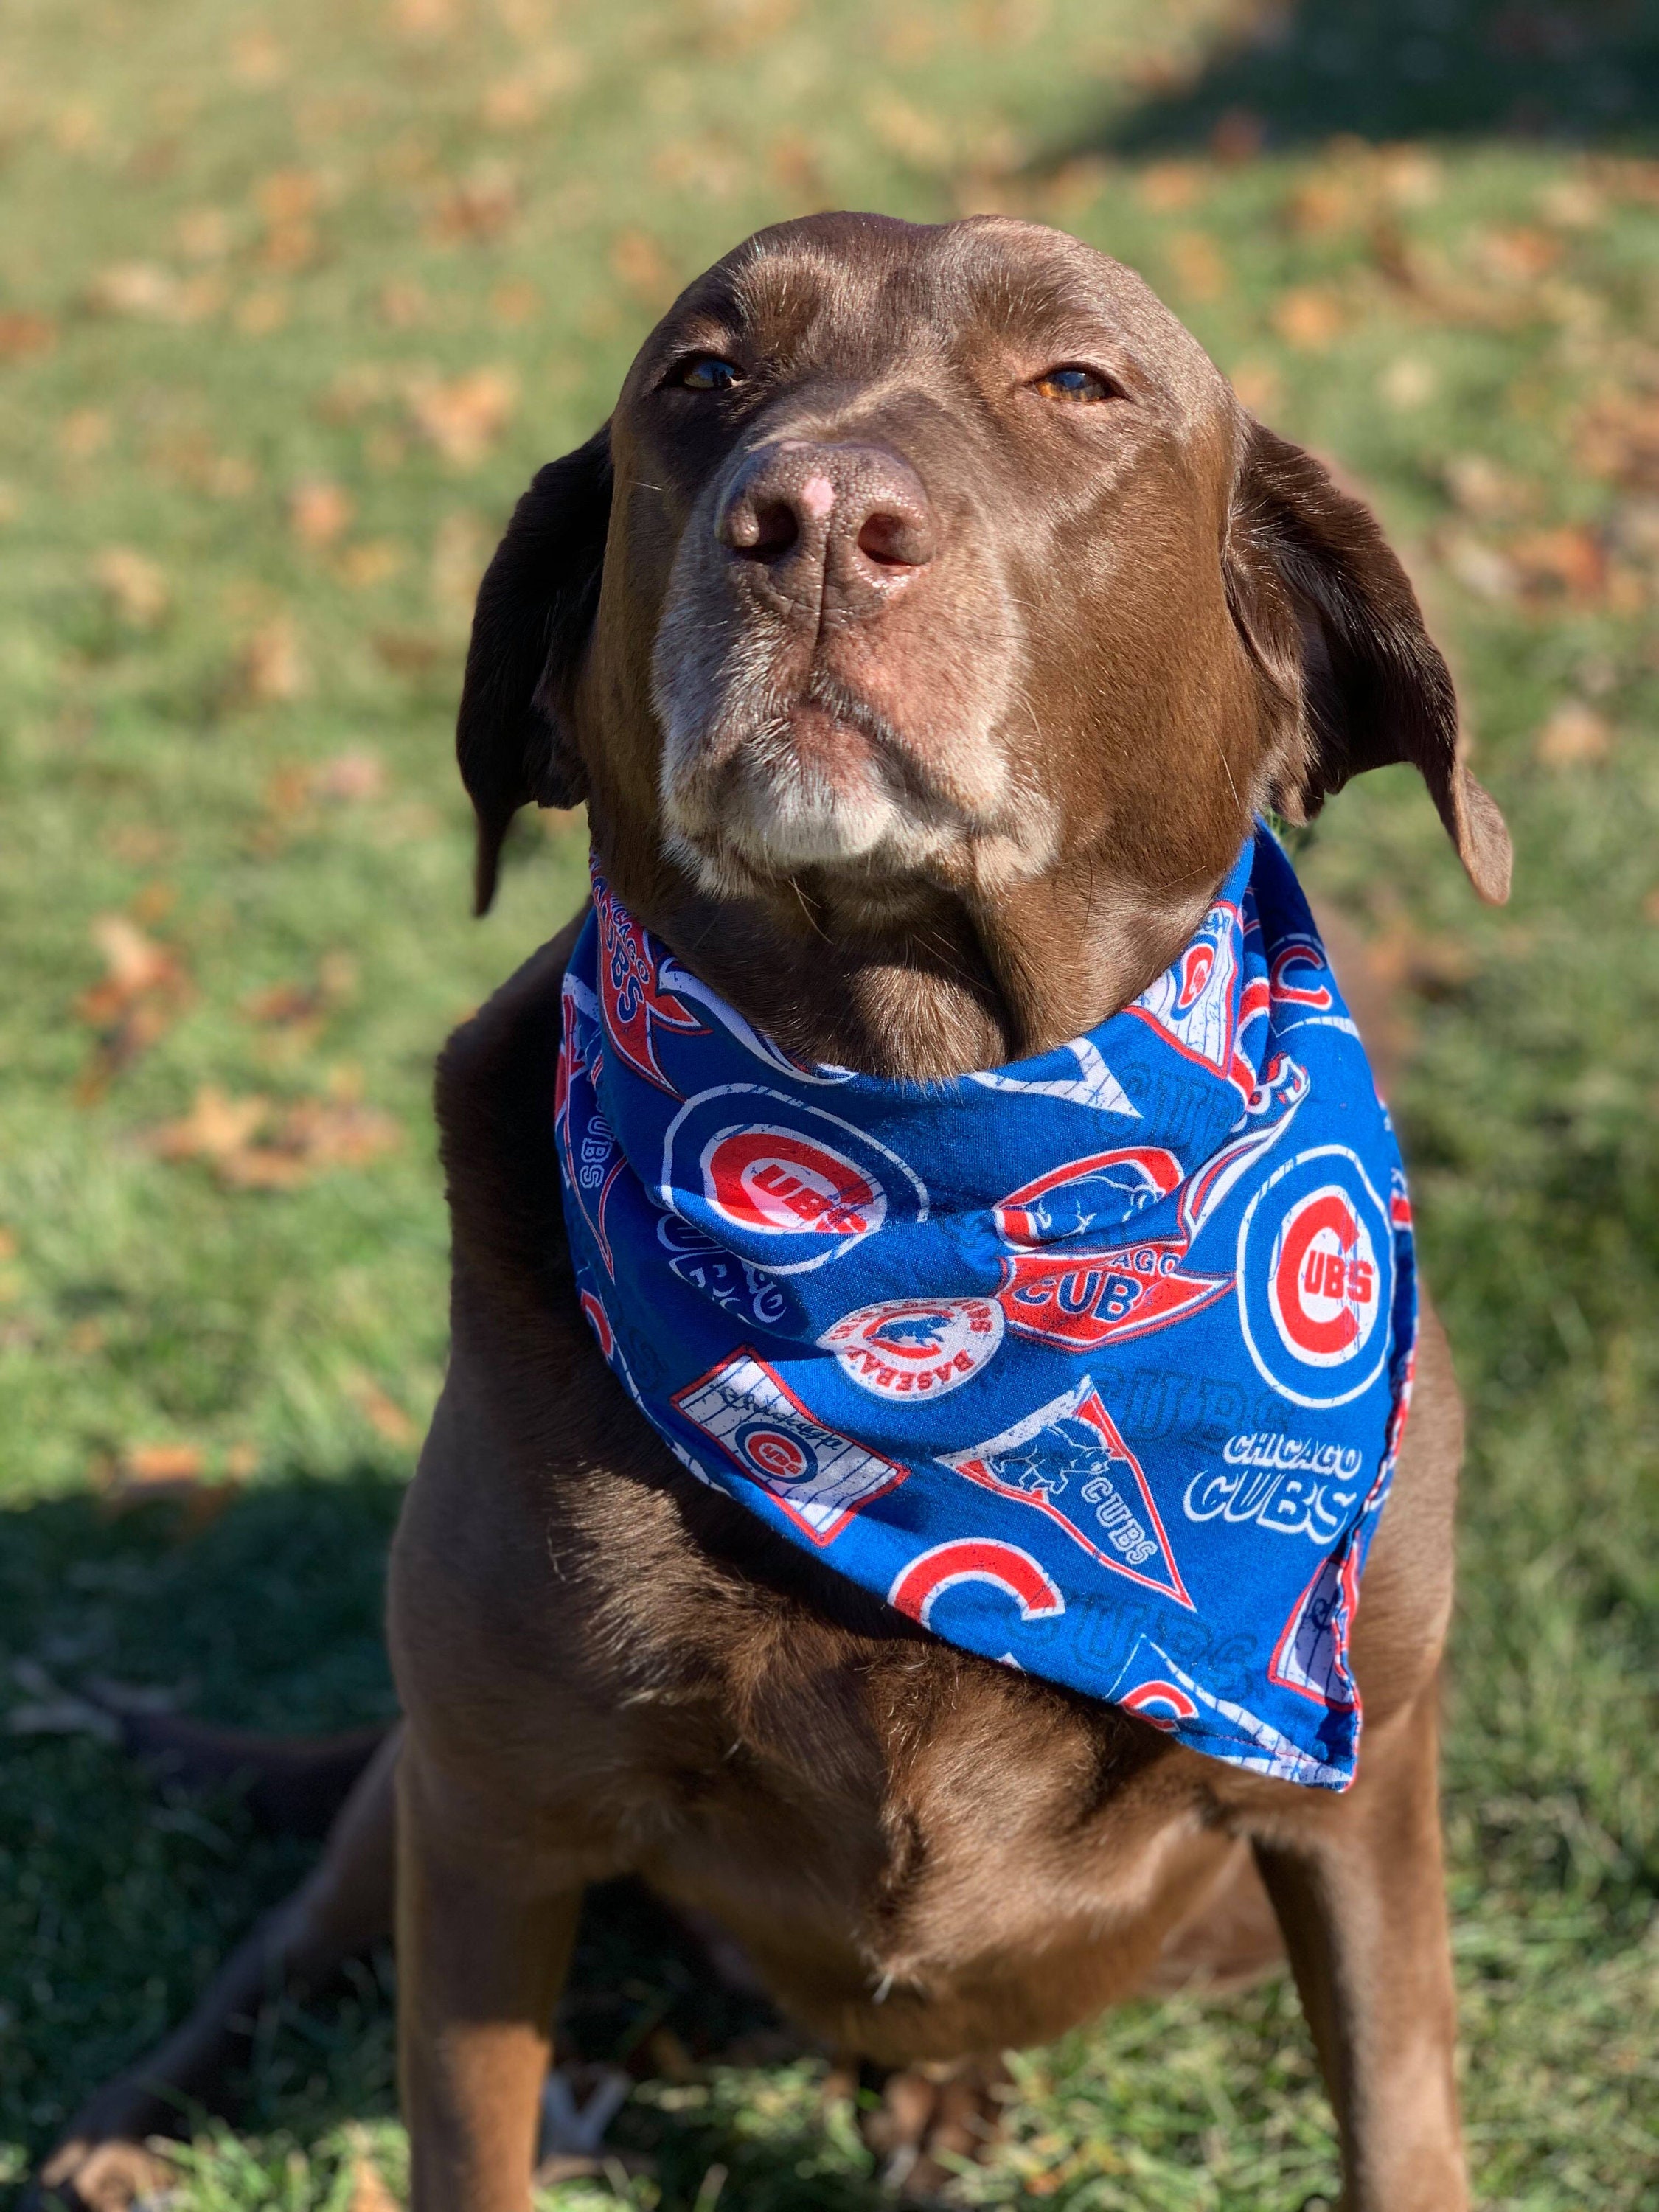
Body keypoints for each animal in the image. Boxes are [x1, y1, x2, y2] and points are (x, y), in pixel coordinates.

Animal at [45, 220, 1513, 2212]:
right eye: (700, 378)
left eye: (1076, 382)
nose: (812, 518)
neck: (927, 1167)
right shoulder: (492, 1814)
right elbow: (460, 2121)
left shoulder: (1361, 1789)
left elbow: (1399, 2103)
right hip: (410, 1784)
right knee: (287, 1935)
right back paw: (135, 2121)